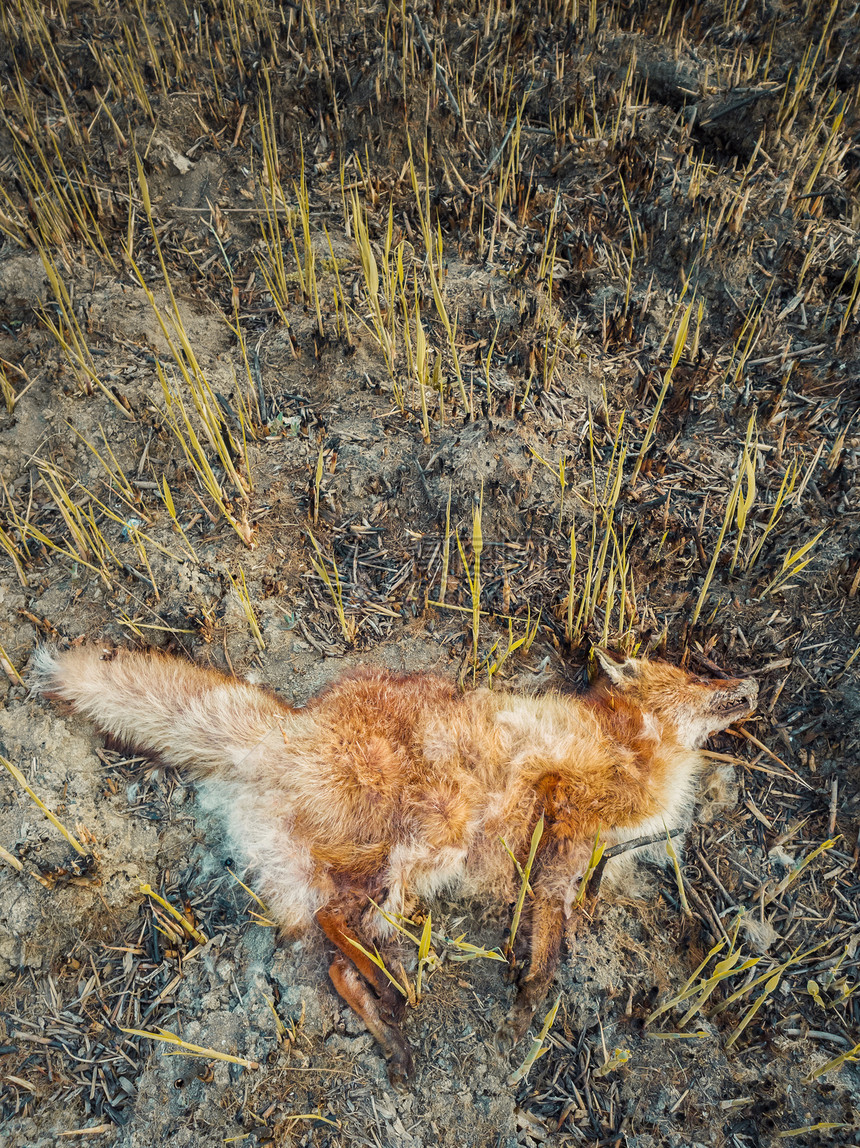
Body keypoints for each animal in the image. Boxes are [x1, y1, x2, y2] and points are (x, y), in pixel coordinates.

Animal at [37, 647, 753, 1083]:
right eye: (698, 679)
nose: (747, 683)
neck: (626, 748)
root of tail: (284, 733)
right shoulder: (563, 817)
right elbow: (548, 936)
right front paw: (530, 1006)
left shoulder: (574, 846)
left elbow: (561, 914)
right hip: (437, 833)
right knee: (345, 924)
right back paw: (393, 991)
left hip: (347, 873)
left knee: (334, 956)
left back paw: (389, 1025)